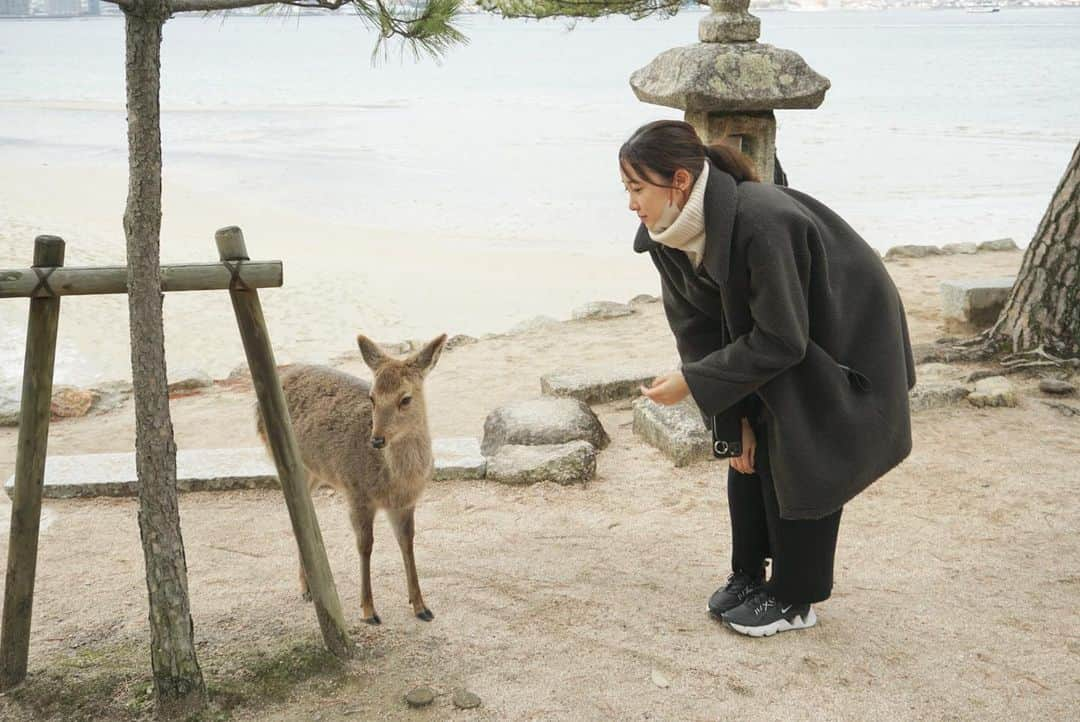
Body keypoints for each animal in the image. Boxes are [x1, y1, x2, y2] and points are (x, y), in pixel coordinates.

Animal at [254, 334, 444, 621]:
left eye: (406, 398)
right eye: (372, 397)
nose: (377, 439)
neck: (397, 482)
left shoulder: (405, 504)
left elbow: (407, 543)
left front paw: (421, 607)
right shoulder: (357, 494)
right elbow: (365, 546)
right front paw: (368, 611)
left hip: (313, 472)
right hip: (286, 461)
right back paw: (306, 588)